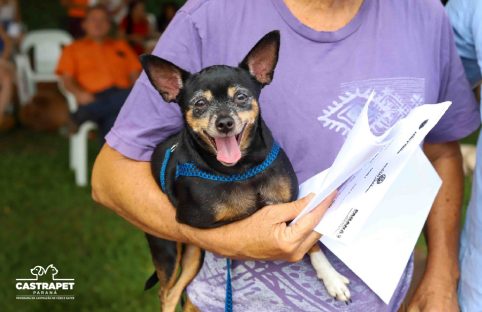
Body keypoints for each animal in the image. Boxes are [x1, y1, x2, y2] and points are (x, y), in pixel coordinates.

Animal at [140, 31, 350, 312]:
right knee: (168, 293)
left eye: (240, 97)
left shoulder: (288, 205)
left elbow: (313, 244)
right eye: (199, 103)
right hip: (169, 250)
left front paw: (331, 277)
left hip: (193, 256)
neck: (242, 169)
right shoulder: (204, 226)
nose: (224, 122)